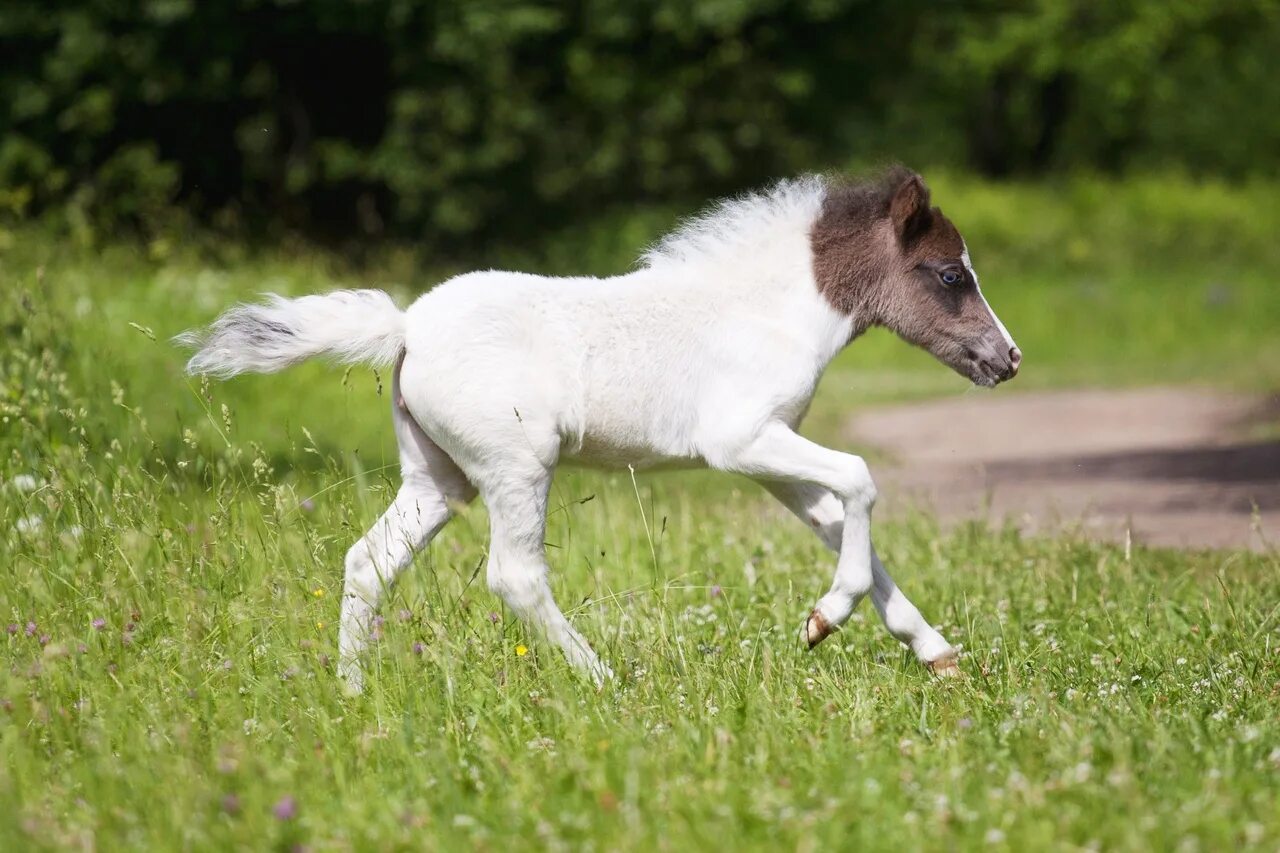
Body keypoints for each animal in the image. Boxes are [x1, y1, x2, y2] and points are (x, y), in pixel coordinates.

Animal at [180, 167, 1018, 691]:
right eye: (951, 274)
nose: (1006, 359)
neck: (766, 311)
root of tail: (406, 326)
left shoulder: (772, 458)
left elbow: (846, 526)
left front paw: (936, 655)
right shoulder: (741, 443)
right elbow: (861, 480)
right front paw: (824, 619)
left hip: (437, 477)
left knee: (368, 559)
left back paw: (353, 690)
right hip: (518, 465)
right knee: (514, 575)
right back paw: (605, 679)